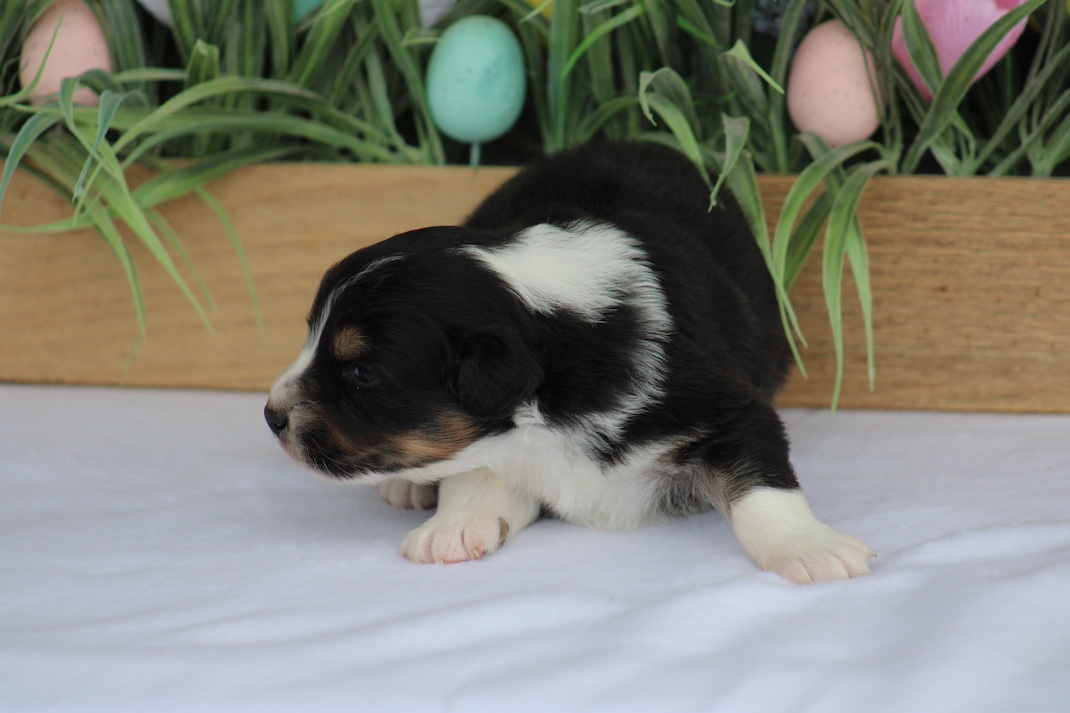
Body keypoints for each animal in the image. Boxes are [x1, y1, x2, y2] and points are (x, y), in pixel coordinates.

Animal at [264, 142, 874, 584]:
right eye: (311, 337)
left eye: (361, 373)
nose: (270, 416)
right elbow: (477, 470)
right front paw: (453, 527)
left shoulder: (729, 407)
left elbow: (762, 487)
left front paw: (812, 550)